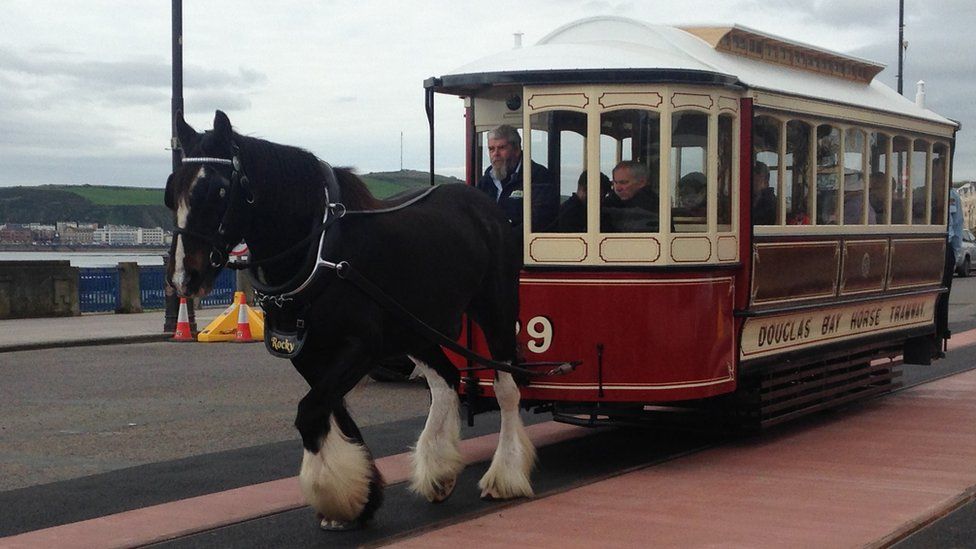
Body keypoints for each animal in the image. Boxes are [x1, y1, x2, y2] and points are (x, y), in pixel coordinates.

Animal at [165, 109, 536, 528]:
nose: (183, 277)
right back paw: (438, 468)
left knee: (506, 388)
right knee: (446, 381)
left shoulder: (361, 347)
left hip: (496, 308)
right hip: (415, 328)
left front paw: (338, 496)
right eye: (171, 192)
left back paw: (505, 473)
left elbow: (312, 412)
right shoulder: (308, 352)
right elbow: (330, 410)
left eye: (217, 191)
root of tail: (482, 203)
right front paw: (363, 495)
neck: (321, 249)